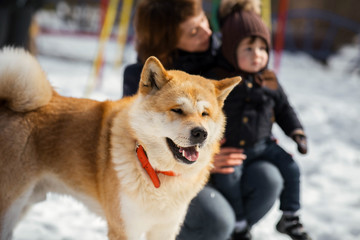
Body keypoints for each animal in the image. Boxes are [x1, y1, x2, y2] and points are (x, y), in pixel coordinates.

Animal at [0, 47, 242, 240]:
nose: (200, 133)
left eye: (204, 114)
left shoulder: (165, 229)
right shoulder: (125, 228)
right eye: (177, 110)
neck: (156, 171)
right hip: (10, 205)